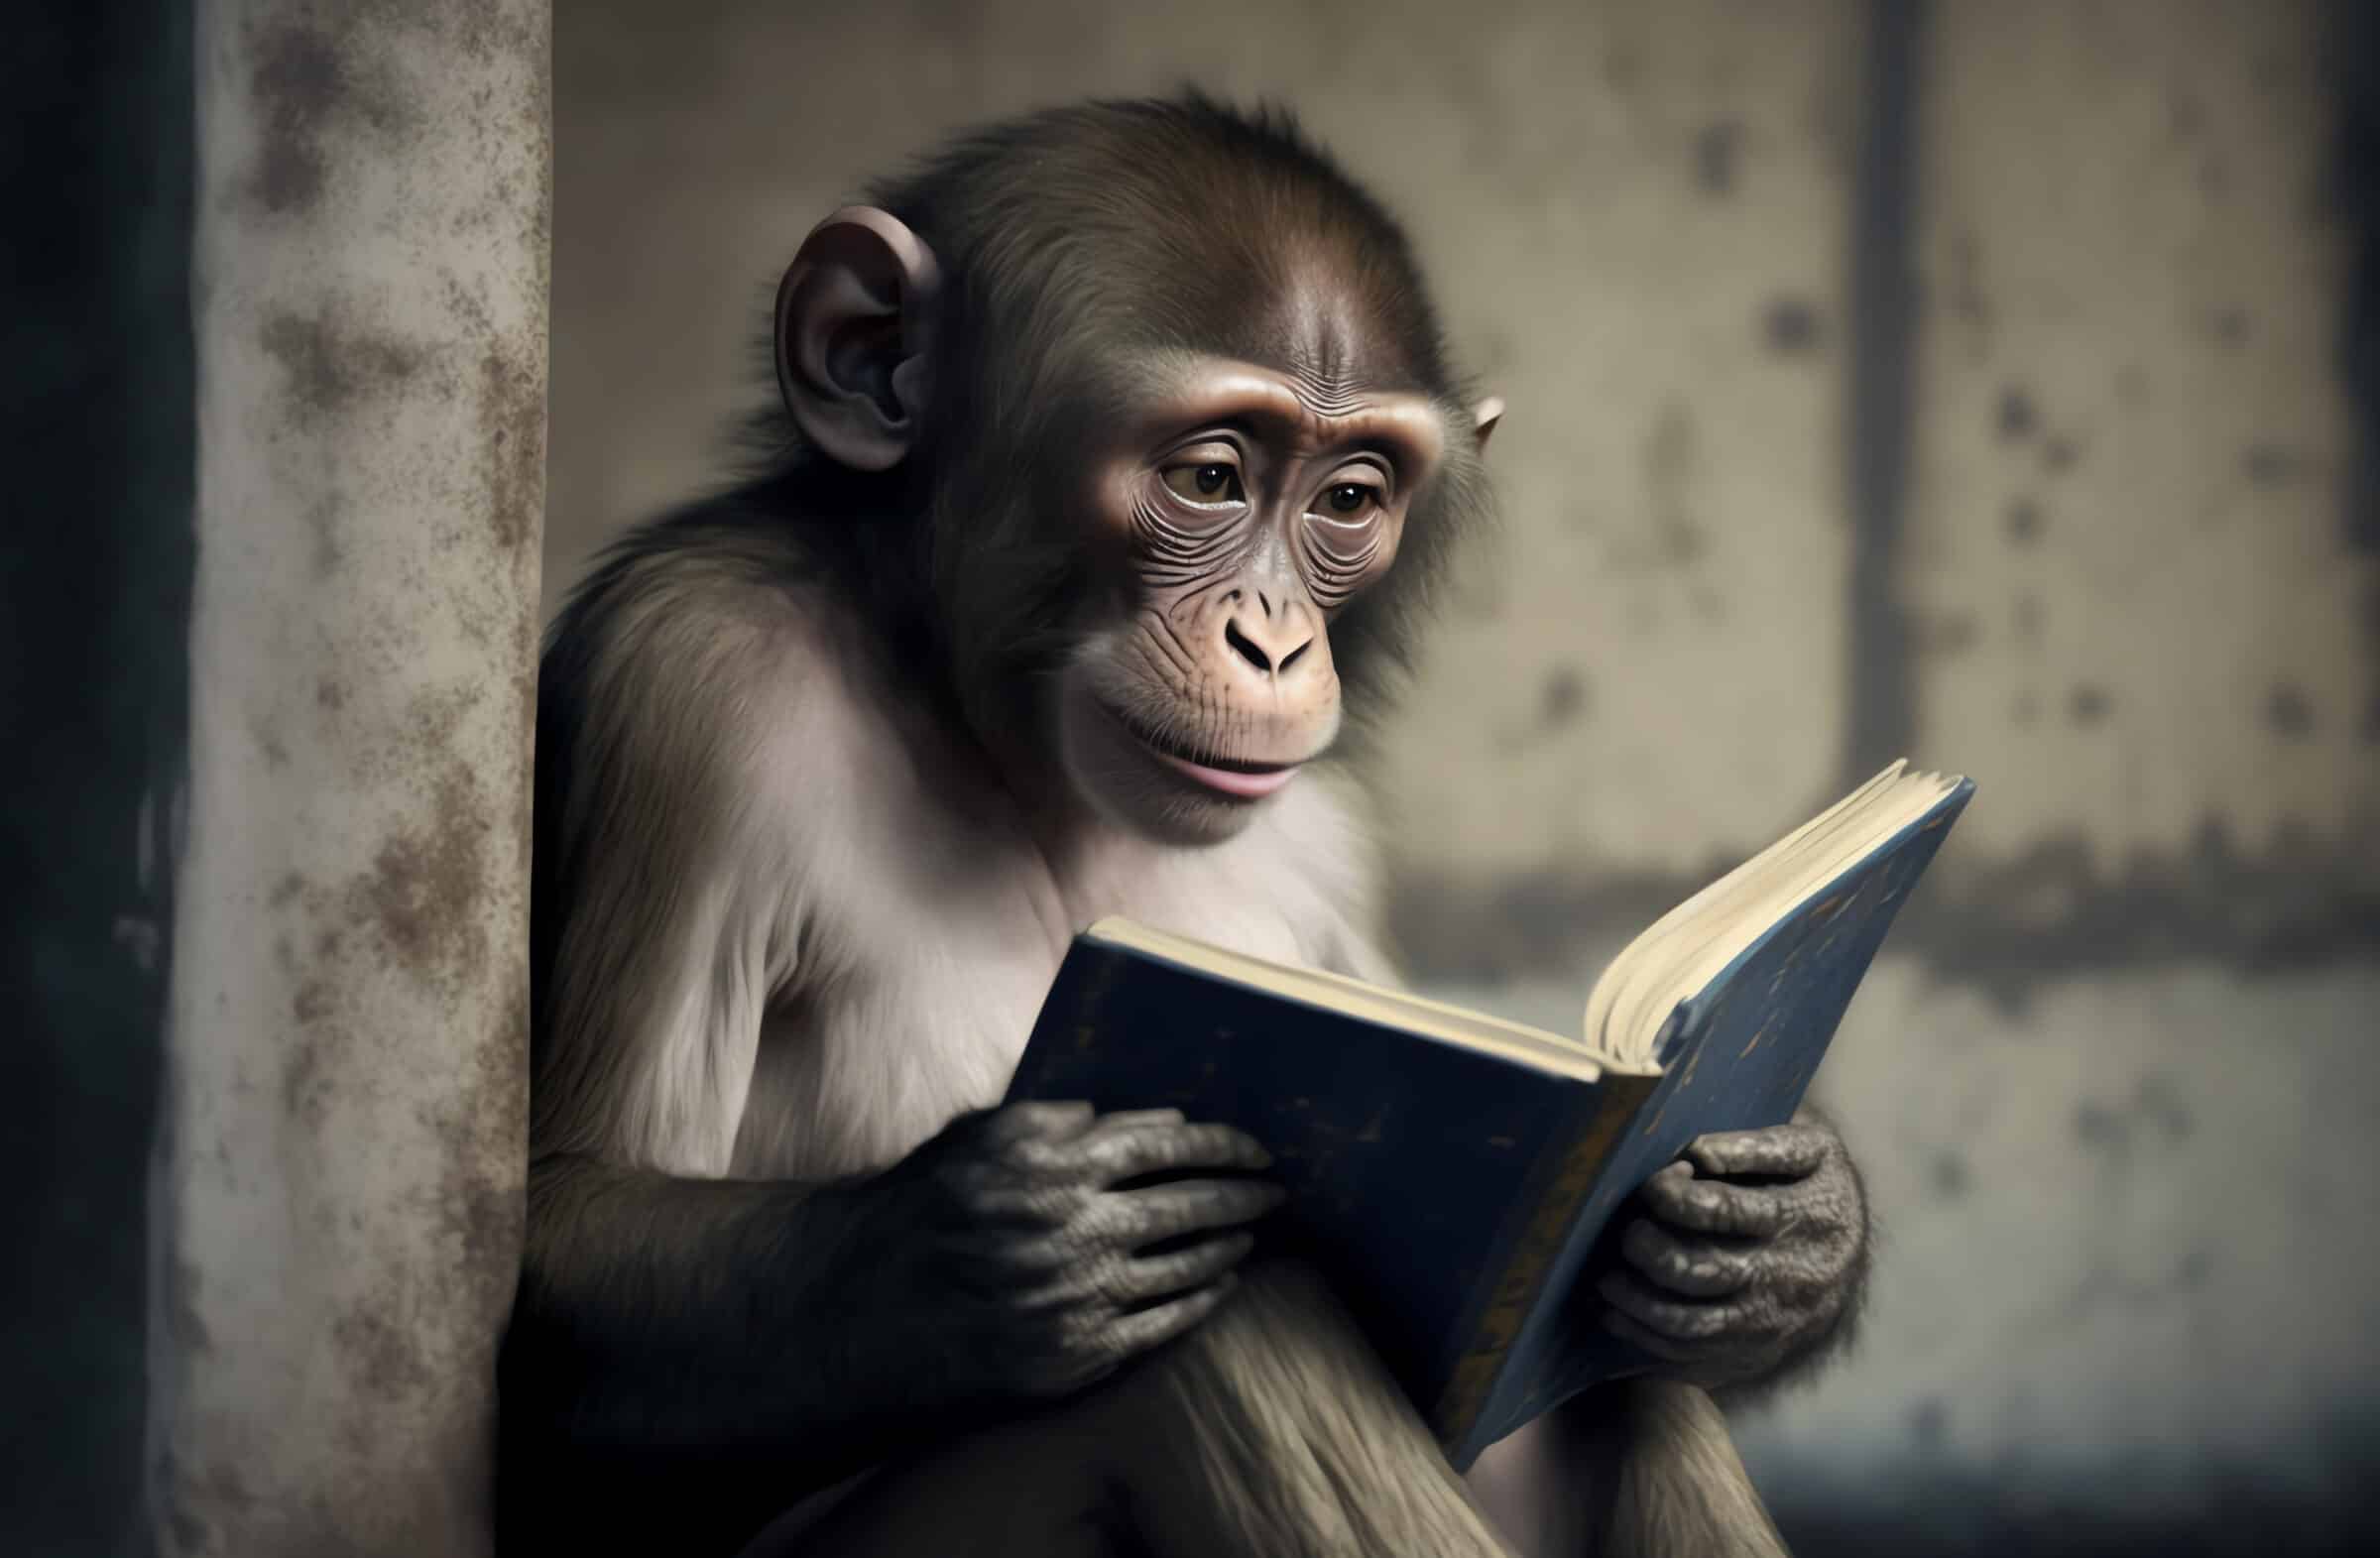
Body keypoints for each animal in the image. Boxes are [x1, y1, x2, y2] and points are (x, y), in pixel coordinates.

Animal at [500, 95, 1870, 1558]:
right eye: (1211, 476)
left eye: (1347, 499)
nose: (1270, 640)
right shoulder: (686, 681)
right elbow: (568, 1229)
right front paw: (1010, 1239)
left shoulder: (1327, 843)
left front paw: (1788, 1233)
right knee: (1229, 1323)